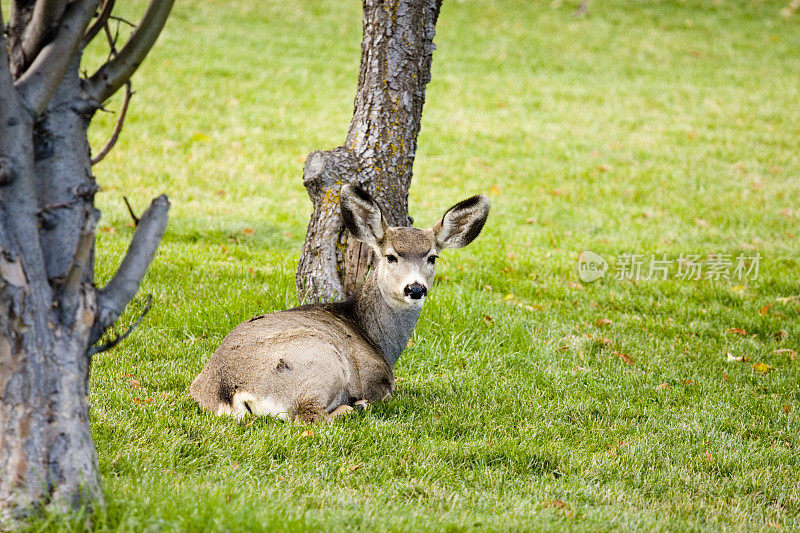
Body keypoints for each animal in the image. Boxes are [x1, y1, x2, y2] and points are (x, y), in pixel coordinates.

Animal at [191, 185, 490, 422]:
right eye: (391, 256)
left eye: (432, 257)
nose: (415, 288)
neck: (375, 338)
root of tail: (230, 392)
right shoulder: (376, 381)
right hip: (319, 361)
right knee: (310, 415)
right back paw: (354, 406)